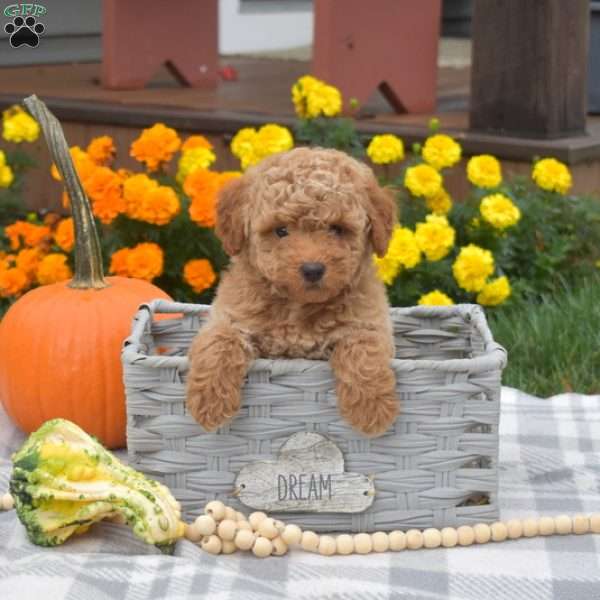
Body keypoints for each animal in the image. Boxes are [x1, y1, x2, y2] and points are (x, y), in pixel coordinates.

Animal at [184, 145, 398, 436]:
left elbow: (363, 350)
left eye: (337, 228)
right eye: (281, 230)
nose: (312, 269)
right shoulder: (229, 317)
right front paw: (209, 403)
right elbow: (219, 342)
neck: (298, 305)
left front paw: (372, 408)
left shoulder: (369, 322)